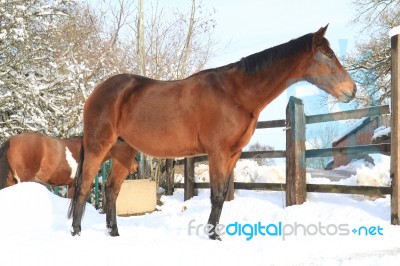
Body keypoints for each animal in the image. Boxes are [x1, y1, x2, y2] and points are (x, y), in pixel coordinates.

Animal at [68, 24, 356, 239]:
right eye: (329, 55)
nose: (352, 90)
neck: (235, 93)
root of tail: (98, 91)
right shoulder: (217, 152)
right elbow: (217, 195)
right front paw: (213, 236)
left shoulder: (233, 154)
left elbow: (222, 195)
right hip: (98, 145)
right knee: (83, 185)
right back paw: (77, 232)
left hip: (124, 151)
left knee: (111, 189)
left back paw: (114, 233)